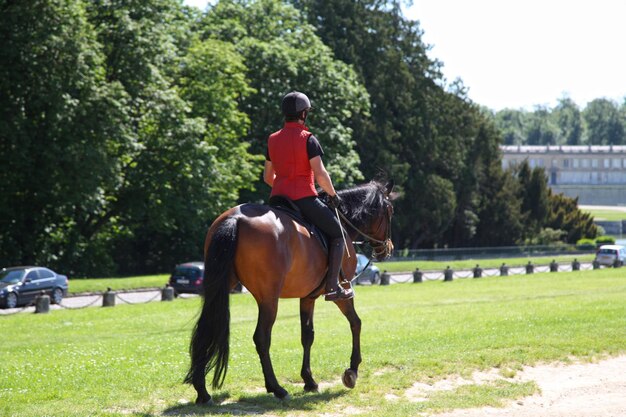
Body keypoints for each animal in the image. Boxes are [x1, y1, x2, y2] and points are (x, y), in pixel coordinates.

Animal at [183, 179, 392, 404]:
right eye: (390, 210)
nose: (387, 248)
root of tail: (236, 218)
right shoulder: (342, 292)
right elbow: (356, 323)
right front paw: (352, 370)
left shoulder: (308, 297)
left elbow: (307, 335)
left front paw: (309, 380)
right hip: (268, 299)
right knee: (261, 338)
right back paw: (276, 388)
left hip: (220, 288)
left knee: (206, 328)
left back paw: (202, 390)